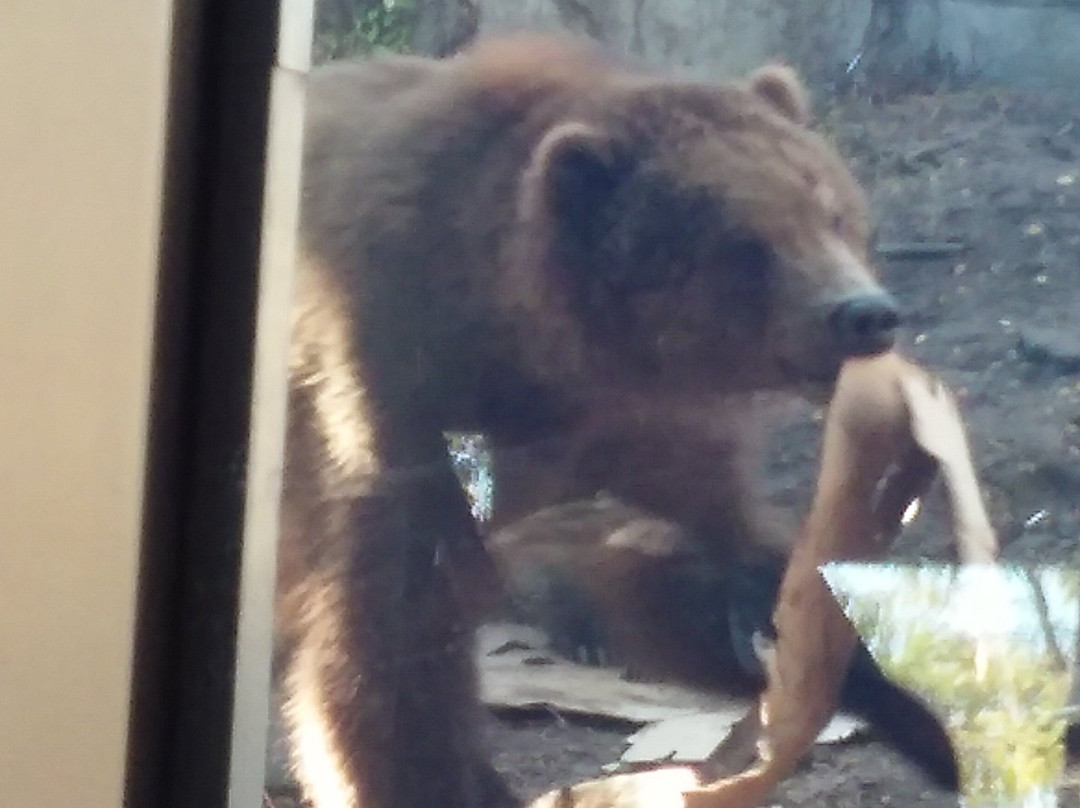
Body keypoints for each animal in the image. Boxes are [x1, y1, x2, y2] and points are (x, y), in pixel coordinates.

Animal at [280, 34, 902, 808]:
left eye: (832, 211)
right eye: (746, 244)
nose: (864, 313)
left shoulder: (639, 425)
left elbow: (709, 533)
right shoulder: (385, 385)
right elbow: (392, 633)